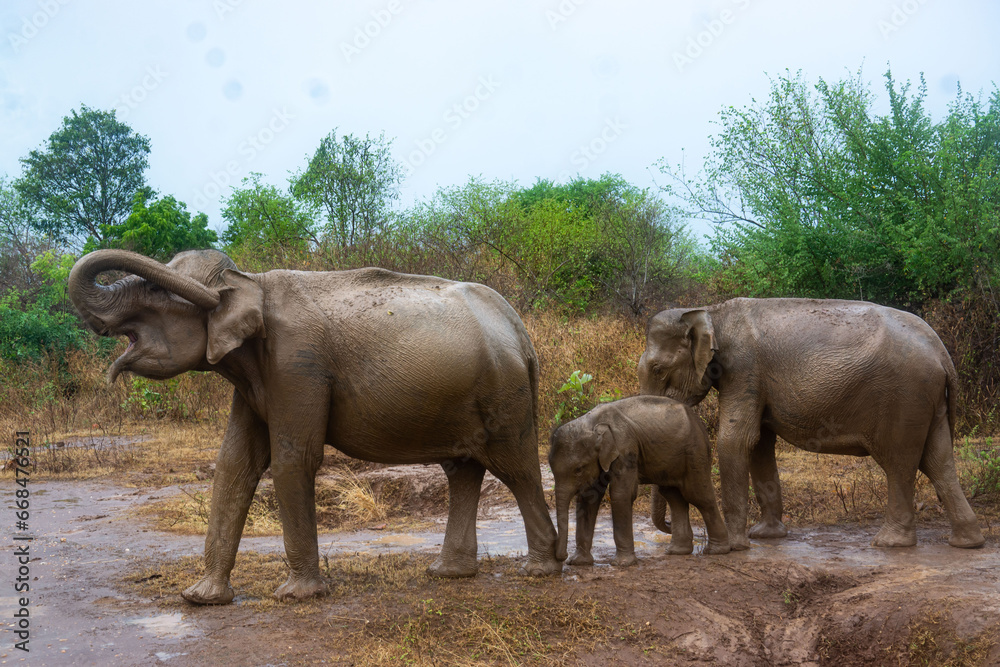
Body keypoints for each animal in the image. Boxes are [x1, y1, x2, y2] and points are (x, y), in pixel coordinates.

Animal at [68, 248, 561, 604]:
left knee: (515, 466)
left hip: (504, 392)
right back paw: (448, 574)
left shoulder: (297, 364)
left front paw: (295, 597)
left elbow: (293, 460)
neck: (250, 282)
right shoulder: (258, 381)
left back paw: (540, 569)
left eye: (154, 288)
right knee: (462, 469)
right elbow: (235, 464)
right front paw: (201, 599)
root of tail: (520, 331)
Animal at [548, 395, 730, 567]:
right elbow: (588, 498)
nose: (562, 557)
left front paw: (621, 564)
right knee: (673, 496)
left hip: (694, 452)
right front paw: (578, 562)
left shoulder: (626, 449)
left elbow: (621, 494)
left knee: (698, 495)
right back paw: (677, 551)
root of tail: (698, 421)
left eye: (578, 469)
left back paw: (716, 550)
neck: (591, 423)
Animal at [638, 298, 986, 551]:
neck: (711, 312)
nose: (667, 528)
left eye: (657, 369)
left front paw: (738, 546)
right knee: (938, 461)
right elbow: (759, 443)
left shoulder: (743, 367)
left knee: (900, 463)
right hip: (930, 402)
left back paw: (889, 543)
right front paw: (766, 536)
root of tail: (941, 351)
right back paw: (967, 542)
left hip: (904, 397)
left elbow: (737, 440)